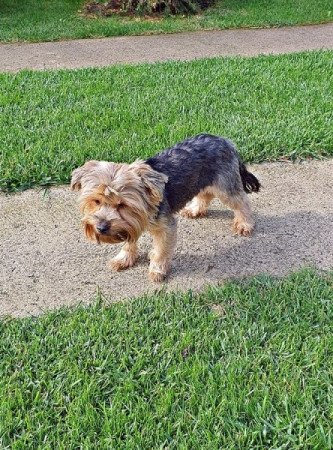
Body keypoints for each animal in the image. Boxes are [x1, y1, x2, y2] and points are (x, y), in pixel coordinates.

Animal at [71, 133, 260, 282]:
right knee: (205, 194)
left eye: (122, 204)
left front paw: (157, 270)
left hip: (225, 185)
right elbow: (129, 241)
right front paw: (123, 258)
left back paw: (245, 224)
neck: (146, 205)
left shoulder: (165, 226)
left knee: (241, 201)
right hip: (202, 181)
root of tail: (226, 141)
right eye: (96, 201)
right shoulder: (129, 224)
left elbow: (160, 250)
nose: (101, 227)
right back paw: (195, 209)